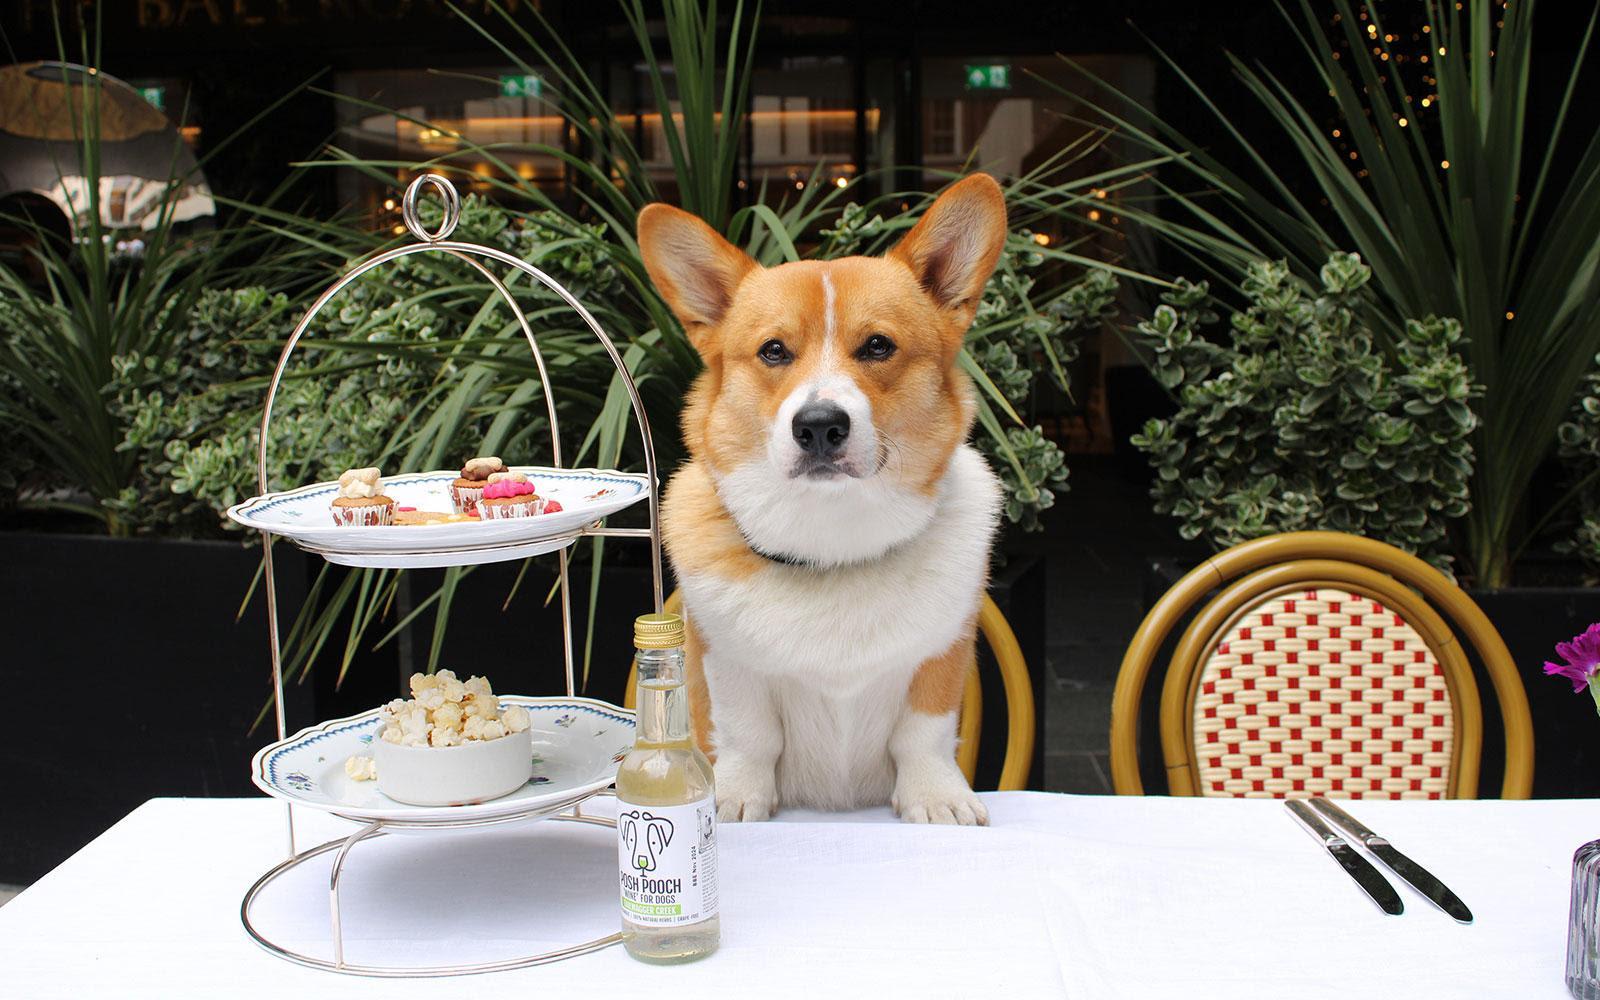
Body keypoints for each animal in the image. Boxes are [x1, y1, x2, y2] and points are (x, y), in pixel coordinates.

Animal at [633, 175, 998, 825]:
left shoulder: (944, 651)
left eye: (878, 346)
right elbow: (748, 734)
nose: (821, 426)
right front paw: (734, 799)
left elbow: (924, 733)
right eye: (774, 351)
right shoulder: (726, 663)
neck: (834, 544)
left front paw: (937, 797)